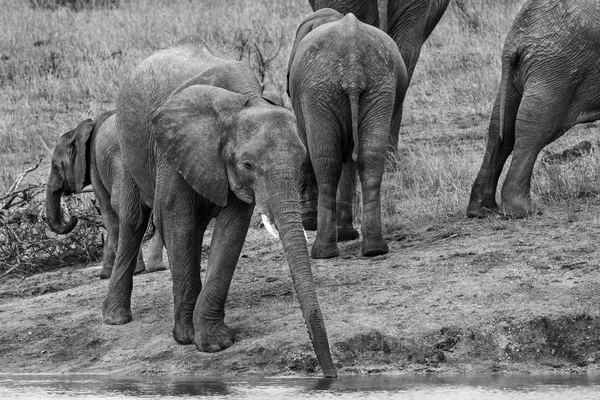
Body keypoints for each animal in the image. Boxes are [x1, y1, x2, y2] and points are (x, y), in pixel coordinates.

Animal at [44, 109, 168, 278]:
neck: (78, 130)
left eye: (56, 166)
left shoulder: (93, 166)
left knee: (122, 204)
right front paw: (106, 273)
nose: (74, 216)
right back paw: (157, 267)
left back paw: (138, 269)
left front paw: (106, 274)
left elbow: (106, 209)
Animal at [103, 37, 338, 378]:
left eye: (301, 159)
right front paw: (187, 337)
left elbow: (231, 231)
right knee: (133, 222)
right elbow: (175, 218)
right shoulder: (172, 147)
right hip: (127, 147)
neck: (246, 100)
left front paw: (214, 342)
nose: (331, 376)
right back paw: (116, 318)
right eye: (248, 164)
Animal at [286, 10, 408, 260]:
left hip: (319, 92)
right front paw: (346, 234)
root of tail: (353, 70)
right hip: (377, 89)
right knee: (369, 158)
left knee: (326, 162)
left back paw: (322, 252)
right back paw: (374, 249)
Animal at [466, 0, 600, 219]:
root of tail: (513, 42)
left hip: (524, 73)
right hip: (557, 66)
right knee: (536, 126)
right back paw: (522, 211)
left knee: (501, 127)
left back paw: (481, 210)